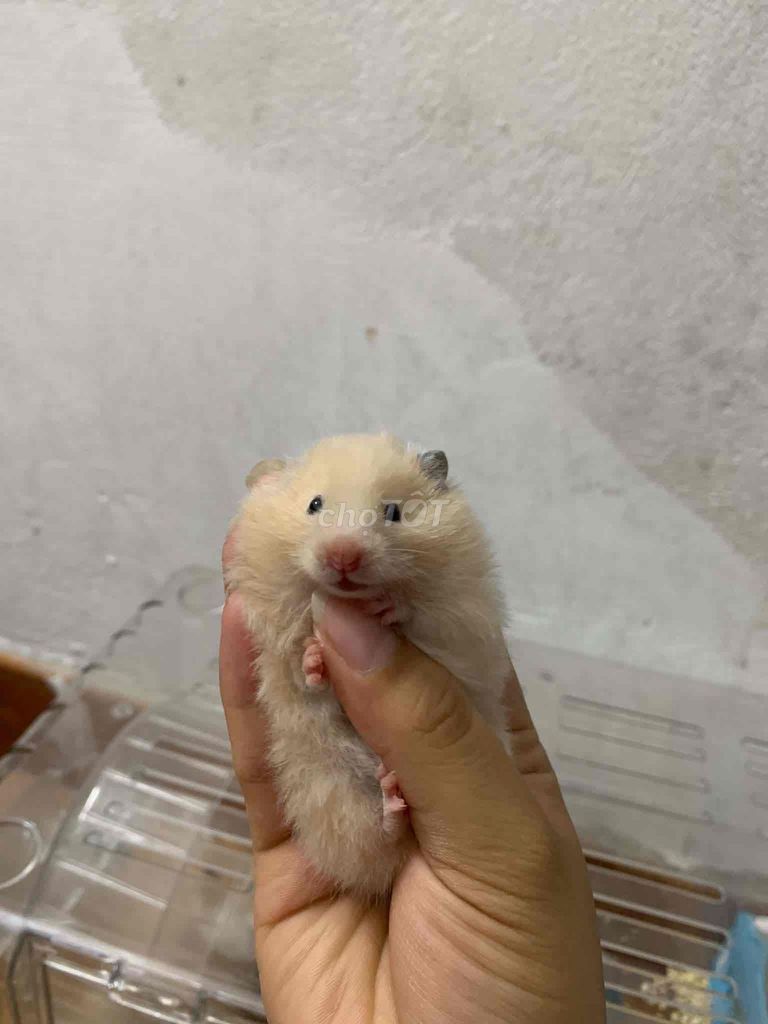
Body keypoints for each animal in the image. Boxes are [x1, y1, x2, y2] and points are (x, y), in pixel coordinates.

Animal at [227, 433, 510, 898]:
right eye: (314, 504)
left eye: (393, 511)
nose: (343, 557)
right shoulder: (279, 646)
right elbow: (301, 671)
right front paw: (314, 658)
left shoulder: (460, 617)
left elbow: (418, 614)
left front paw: (385, 606)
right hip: (334, 791)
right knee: (377, 843)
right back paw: (390, 801)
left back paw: (394, 797)